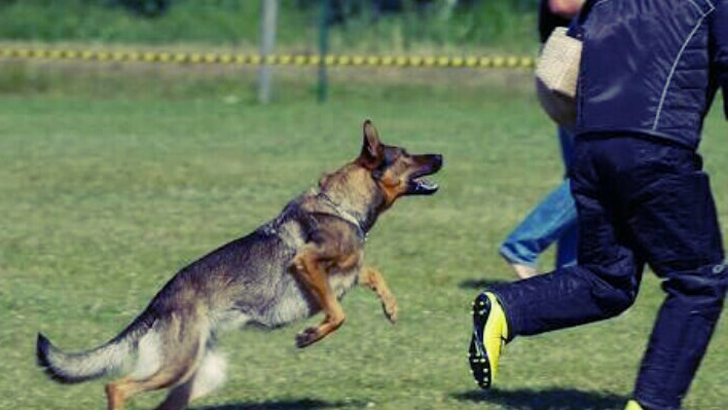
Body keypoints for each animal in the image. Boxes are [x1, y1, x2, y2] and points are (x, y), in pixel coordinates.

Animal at [37, 120, 444, 408]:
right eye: (407, 154)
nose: (441, 156)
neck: (342, 205)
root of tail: (158, 302)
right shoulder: (307, 263)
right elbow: (337, 313)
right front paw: (310, 335)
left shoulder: (349, 270)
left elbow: (372, 272)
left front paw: (391, 307)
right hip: (175, 365)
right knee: (116, 387)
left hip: (200, 376)